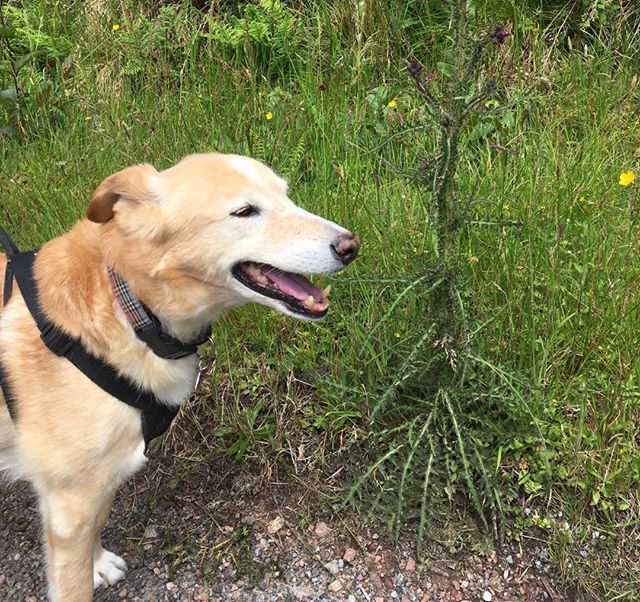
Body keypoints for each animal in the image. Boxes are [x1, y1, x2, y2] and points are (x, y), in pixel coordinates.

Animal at [0, 152, 360, 596]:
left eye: (286, 195)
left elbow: (99, 524)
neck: (130, 307)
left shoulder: (100, 481)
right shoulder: (69, 501)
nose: (350, 246)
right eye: (244, 211)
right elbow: (73, 580)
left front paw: (97, 563)